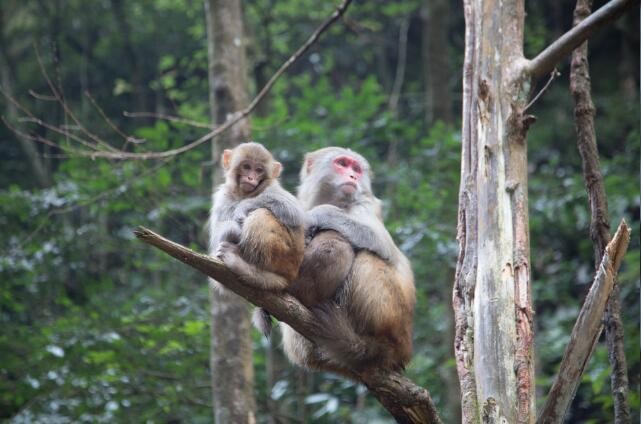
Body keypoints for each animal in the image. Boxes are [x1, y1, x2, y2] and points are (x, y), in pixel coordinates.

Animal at [206, 142, 304, 302]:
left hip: (285, 256)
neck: (245, 194)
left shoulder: (272, 188)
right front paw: (231, 229)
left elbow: (294, 211)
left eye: (258, 170)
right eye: (246, 166)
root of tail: (291, 275)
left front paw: (242, 207)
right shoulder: (223, 196)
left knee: (261, 214)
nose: (251, 177)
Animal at [278, 147, 418, 372]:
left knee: (366, 255)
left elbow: (380, 243)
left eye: (356, 168)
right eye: (342, 164)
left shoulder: (365, 205)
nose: (352, 176)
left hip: (394, 320)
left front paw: (320, 213)